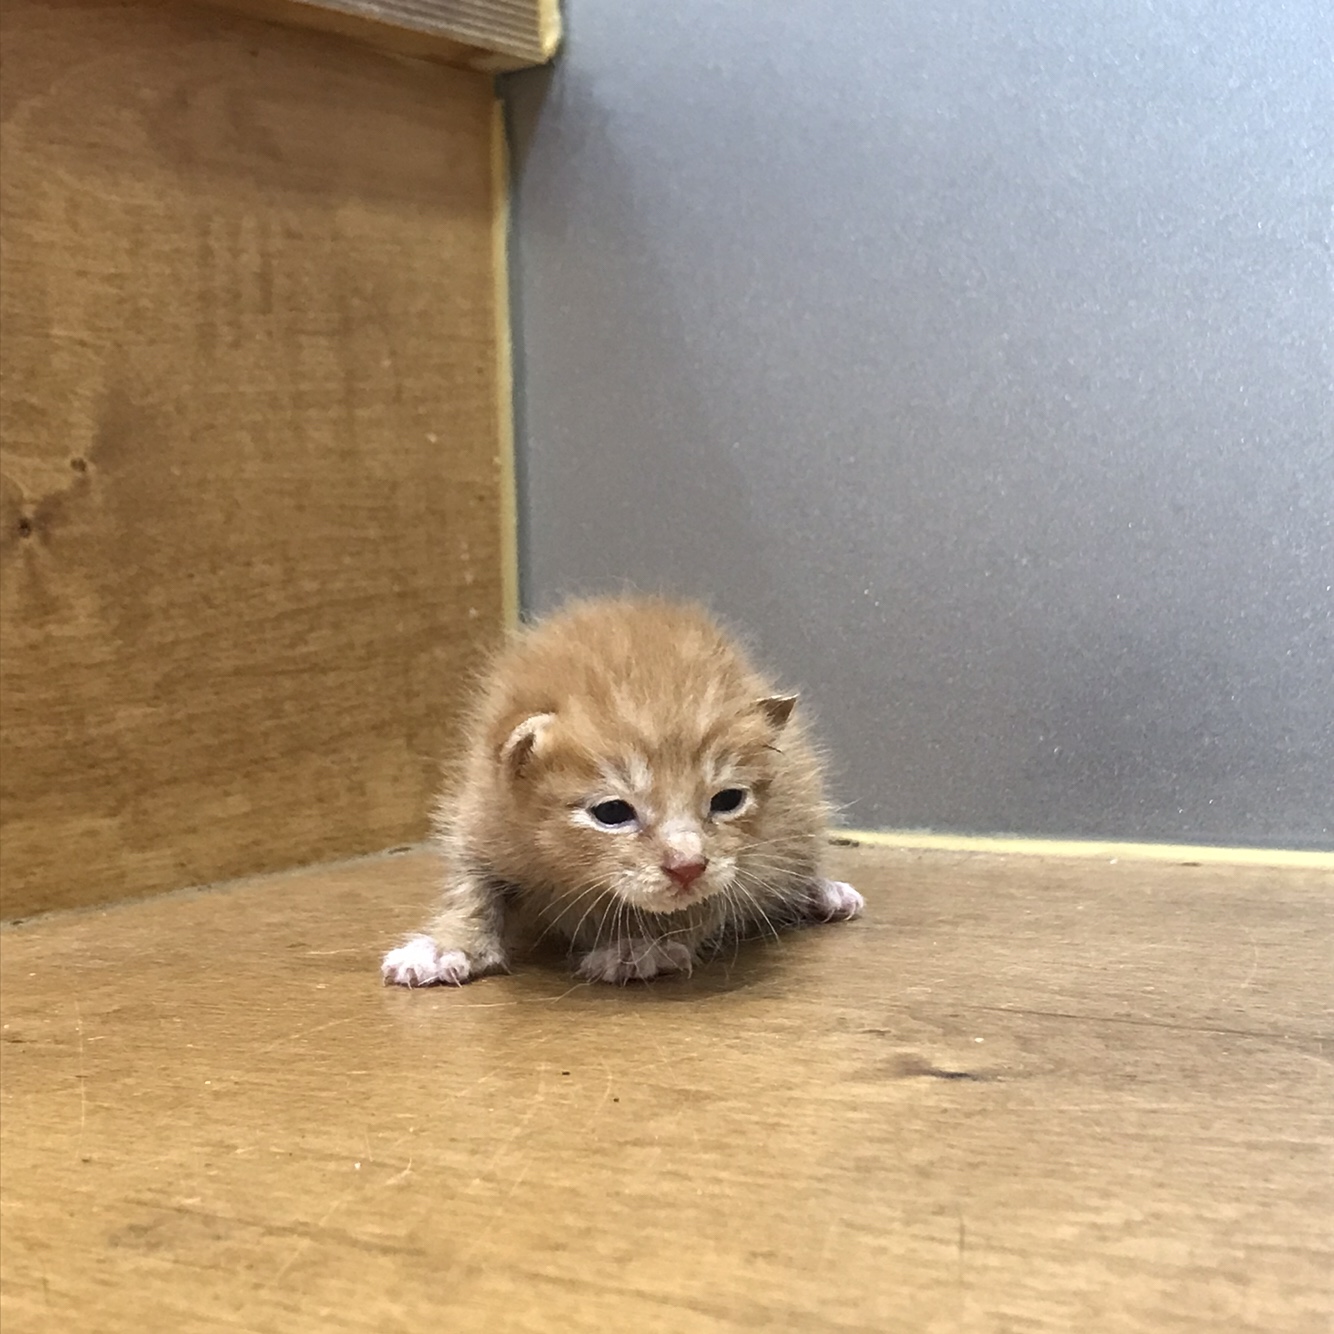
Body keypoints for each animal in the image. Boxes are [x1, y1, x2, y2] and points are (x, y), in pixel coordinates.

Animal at [381, 600, 869, 987]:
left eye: (727, 801)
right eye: (613, 812)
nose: (688, 867)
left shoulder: (749, 858)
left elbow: (712, 898)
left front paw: (639, 944)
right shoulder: (481, 815)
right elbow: (471, 888)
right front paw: (447, 945)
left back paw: (821, 892)